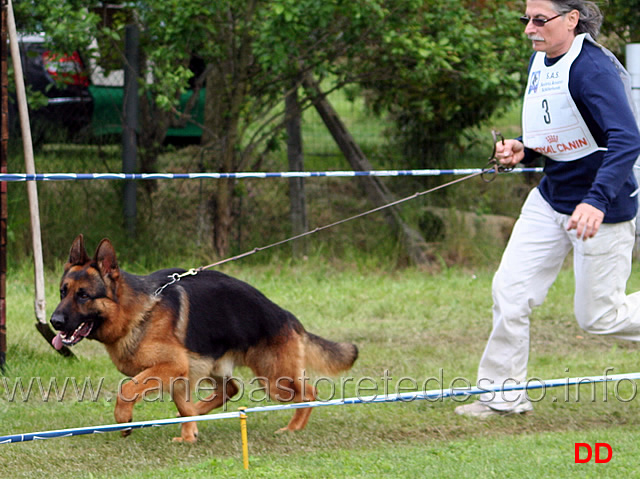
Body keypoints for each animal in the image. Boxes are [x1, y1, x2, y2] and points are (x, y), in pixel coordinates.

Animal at [49, 235, 358, 442]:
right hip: (215, 367)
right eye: (63, 291)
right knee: (230, 389)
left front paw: (123, 420)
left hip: (274, 379)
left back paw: (293, 428)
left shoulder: (171, 367)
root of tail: (286, 316)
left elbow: (127, 389)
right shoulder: (178, 373)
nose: (54, 322)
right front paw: (188, 436)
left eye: (84, 296)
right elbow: (182, 405)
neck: (137, 311)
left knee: (309, 393)